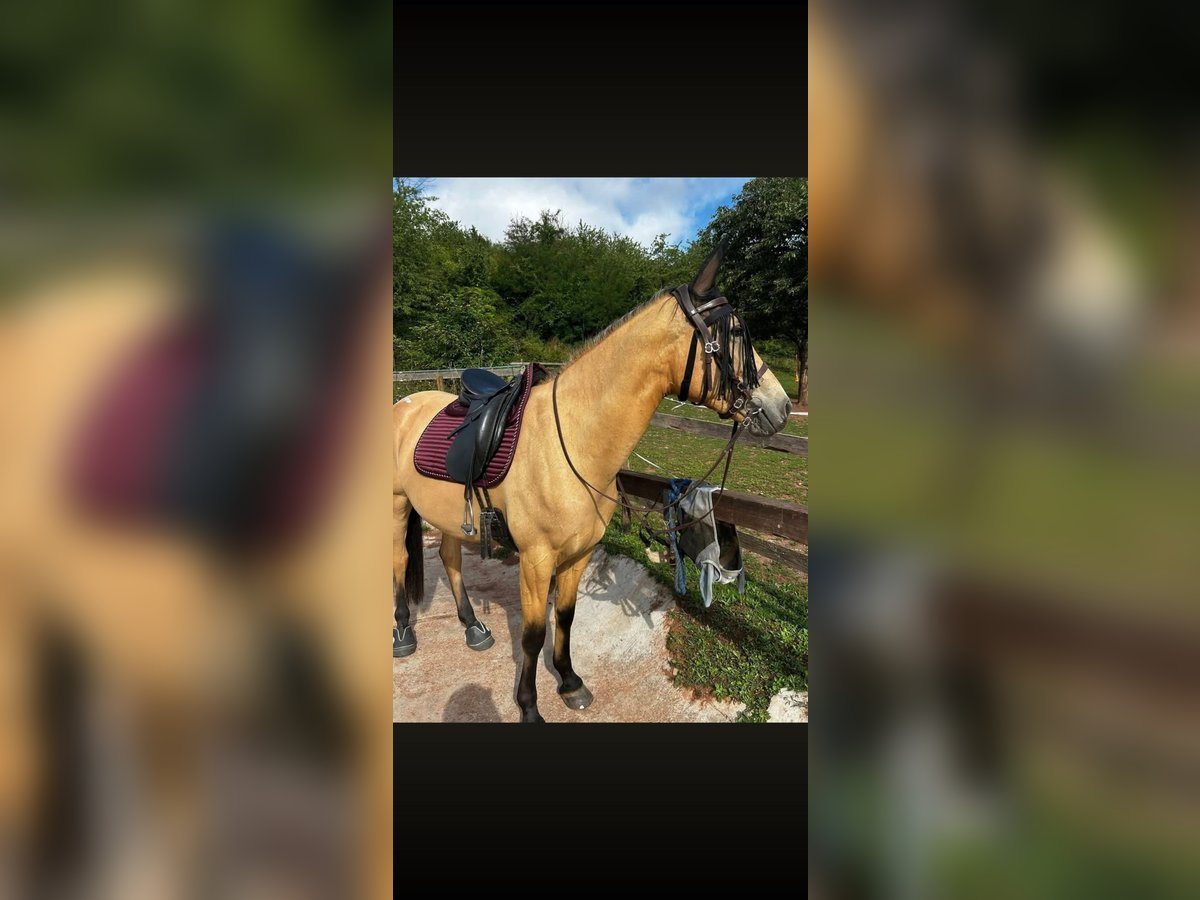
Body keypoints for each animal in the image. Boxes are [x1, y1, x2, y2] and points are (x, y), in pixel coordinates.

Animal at [392, 242, 793, 723]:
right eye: (733, 333)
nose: (782, 406)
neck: (572, 443)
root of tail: (406, 401)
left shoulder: (579, 554)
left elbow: (565, 617)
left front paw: (569, 682)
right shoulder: (535, 561)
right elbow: (532, 635)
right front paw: (529, 706)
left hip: (448, 515)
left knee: (450, 559)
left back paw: (473, 627)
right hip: (395, 507)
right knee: (398, 563)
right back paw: (402, 634)